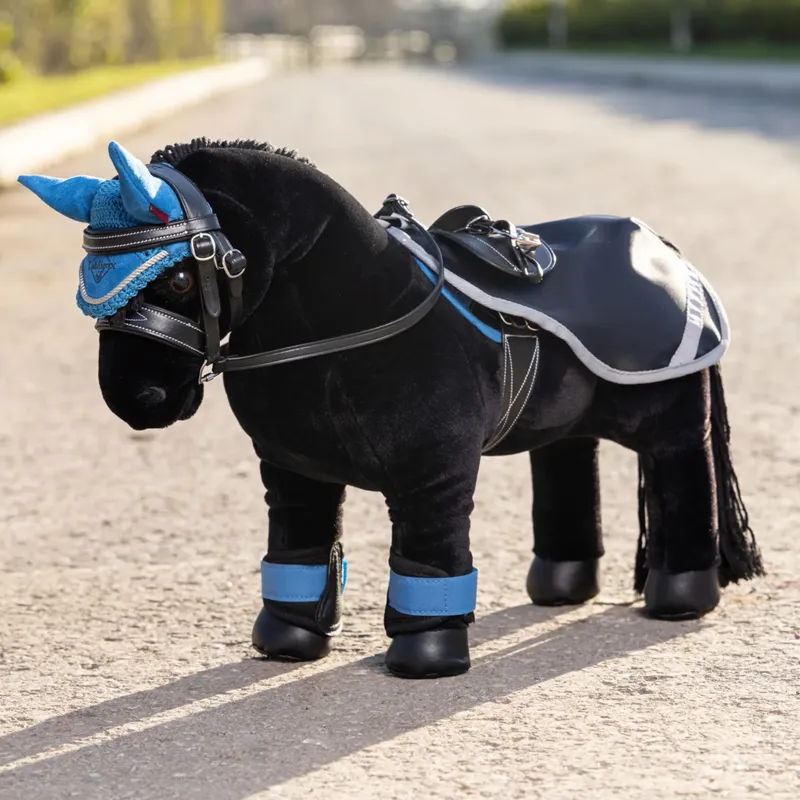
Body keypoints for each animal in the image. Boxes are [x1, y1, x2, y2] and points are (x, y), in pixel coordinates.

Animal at [19, 139, 763, 679]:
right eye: (89, 285)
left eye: (175, 277)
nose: (132, 399)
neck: (351, 321)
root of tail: (669, 250)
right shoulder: (293, 470)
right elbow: (298, 550)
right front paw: (288, 641)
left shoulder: (433, 474)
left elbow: (429, 561)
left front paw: (427, 656)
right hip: (564, 424)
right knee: (566, 464)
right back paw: (560, 584)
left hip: (667, 416)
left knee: (684, 469)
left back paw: (681, 595)